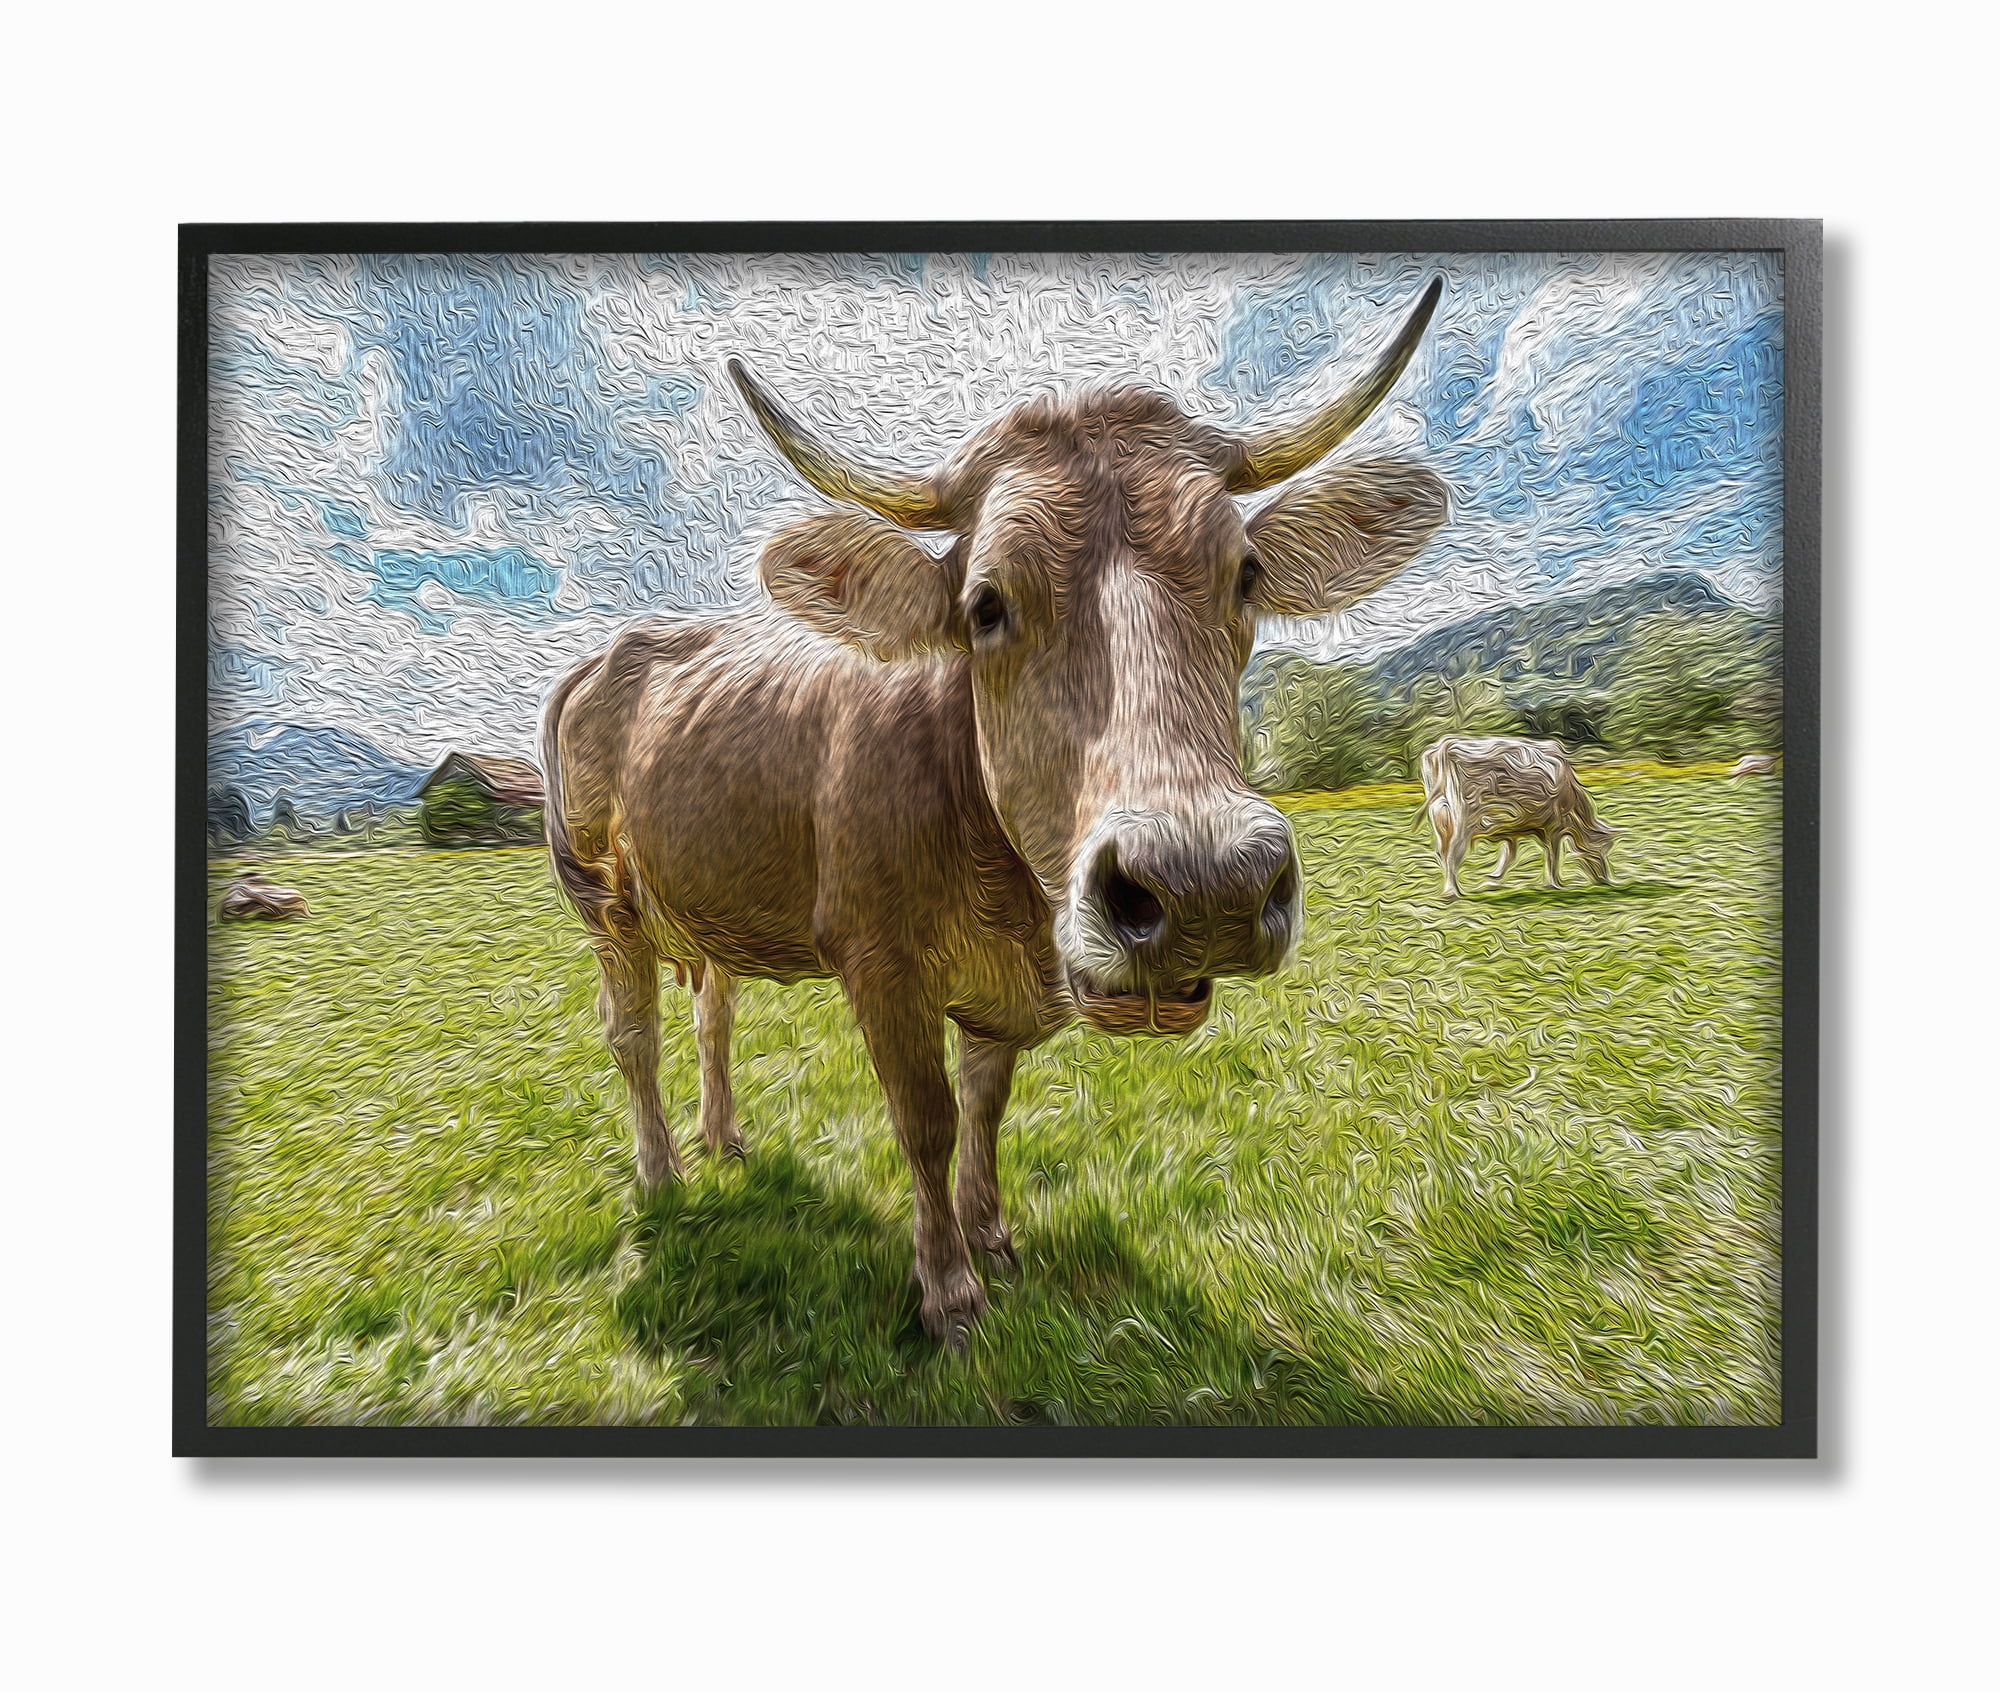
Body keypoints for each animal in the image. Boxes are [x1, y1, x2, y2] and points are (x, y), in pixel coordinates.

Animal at [543, 280, 1451, 1343]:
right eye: (985, 604)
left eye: (1247, 575)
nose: (1205, 885)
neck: (1004, 895)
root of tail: (610, 652)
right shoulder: (875, 960)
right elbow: (926, 1121)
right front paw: (948, 1288)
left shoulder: (1002, 995)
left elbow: (985, 1106)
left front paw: (992, 1238)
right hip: (604, 904)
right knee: (633, 1035)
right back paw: (660, 1172)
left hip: (702, 897)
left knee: (712, 1015)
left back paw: (722, 1137)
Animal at [1421, 735, 1614, 899]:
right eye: (1604, 848)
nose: (1606, 879)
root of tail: (1446, 745)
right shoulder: (1553, 826)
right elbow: (1553, 855)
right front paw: (1555, 884)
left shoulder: (1513, 829)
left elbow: (1510, 855)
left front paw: (1492, 880)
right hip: (1463, 821)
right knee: (1453, 853)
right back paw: (1453, 892)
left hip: (1441, 818)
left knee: (1442, 852)